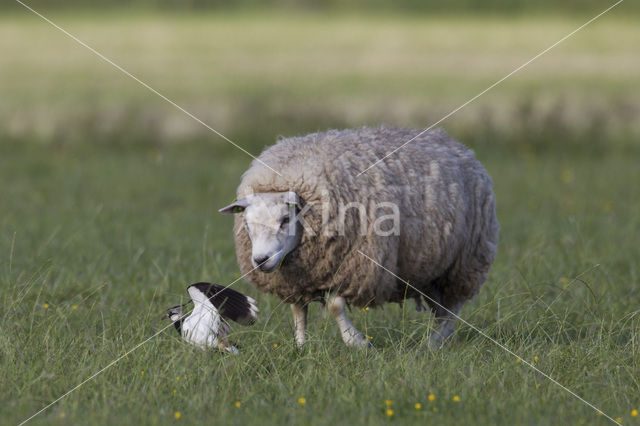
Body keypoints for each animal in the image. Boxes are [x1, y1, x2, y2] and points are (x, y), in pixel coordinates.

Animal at [220, 125, 500, 348]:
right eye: (246, 224)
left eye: (285, 220)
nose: (260, 260)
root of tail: (457, 145)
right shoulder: (298, 278)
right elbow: (298, 310)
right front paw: (300, 346)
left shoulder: (350, 265)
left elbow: (335, 306)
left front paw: (357, 342)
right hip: (430, 268)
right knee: (442, 309)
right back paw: (441, 339)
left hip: (464, 261)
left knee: (453, 307)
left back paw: (434, 342)